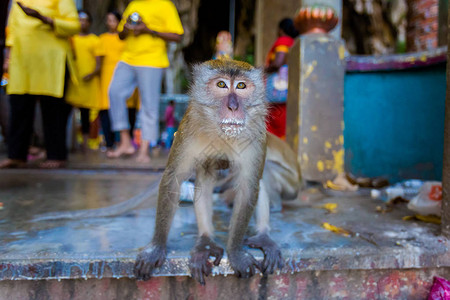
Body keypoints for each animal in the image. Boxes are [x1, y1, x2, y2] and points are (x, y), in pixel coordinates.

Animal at [133, 58, 284, 284]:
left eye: (241, 86)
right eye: (221, 85)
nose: (233, 106)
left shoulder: (256, 138)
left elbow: (249, 187)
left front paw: (235, 252)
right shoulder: (188, 133)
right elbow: (173, 179)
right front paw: (157, 247)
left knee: (258, 181)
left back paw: (264, 235)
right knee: (205, 176)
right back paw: (206, 241)